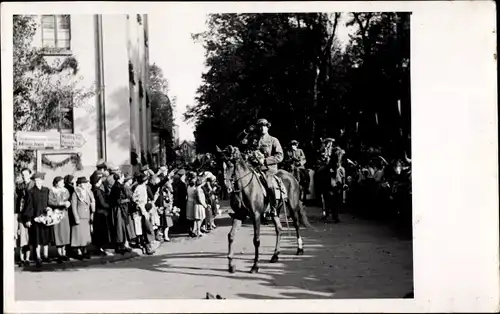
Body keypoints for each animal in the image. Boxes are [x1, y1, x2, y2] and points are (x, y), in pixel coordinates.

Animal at [216, 146, 310, 274]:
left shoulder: (256, 215)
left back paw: (299, 249)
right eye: (219, 165)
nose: (224, 186)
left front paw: (255, 266)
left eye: (230, 164)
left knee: (296, 224)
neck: (245, 188)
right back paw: (275, 256)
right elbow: (231, 236)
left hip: (292, 206)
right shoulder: (239, 215)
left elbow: (256, 240)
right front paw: (231, 265)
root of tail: (292, 176)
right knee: (279, 229)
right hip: (275, 211)